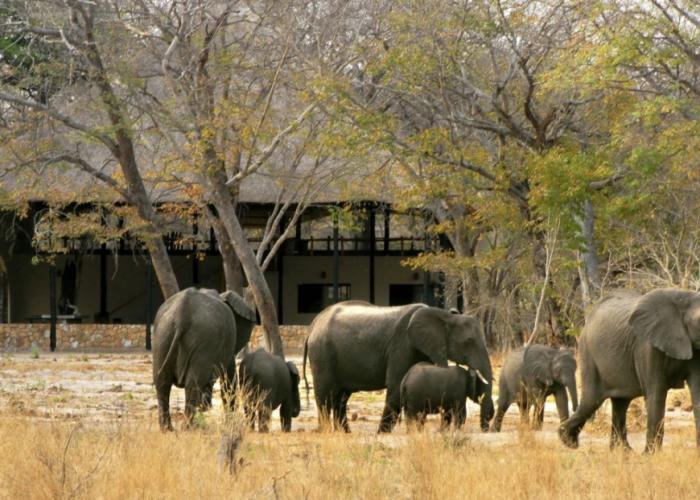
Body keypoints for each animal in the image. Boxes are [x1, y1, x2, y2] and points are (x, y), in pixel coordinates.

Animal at [152, 287, 256, 431]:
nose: (206, 405)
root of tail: (182, 314)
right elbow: (229, 381)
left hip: (162, 335)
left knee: (163, 382)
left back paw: (168, 429)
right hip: (202, 340)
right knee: (192, 385)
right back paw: (188, 428)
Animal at [303, 301, 494, 433]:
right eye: (468, 342)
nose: (487, 424)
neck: (444, 315)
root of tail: (313, 325)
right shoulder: (402, 346)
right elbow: (395, 387)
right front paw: (382, 434)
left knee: (341, 398)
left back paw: (345, 433)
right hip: (322, 354)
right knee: (325, 396)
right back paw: (326, 431)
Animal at [559, 289, 700, 452]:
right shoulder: (647, 346)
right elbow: (656, 394)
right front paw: (651, 455)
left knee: (620, 402)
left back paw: (622, 452)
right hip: (588, 353)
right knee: (592, 399)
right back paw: (568, 441)